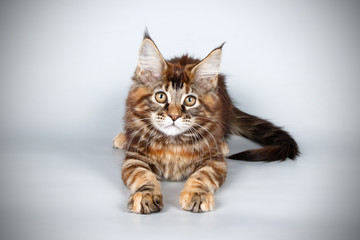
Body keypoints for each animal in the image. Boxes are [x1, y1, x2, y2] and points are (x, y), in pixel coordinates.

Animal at [114, 31, 300, 214]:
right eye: (160, 96)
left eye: (190, 100)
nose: (174, 116)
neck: (173, 143)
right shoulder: (135, 158)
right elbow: (143, 175)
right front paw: (147, 195)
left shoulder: (214, 161)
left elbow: (202, 176)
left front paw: (197, 195)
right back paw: (123, 138)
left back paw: (223, 144)